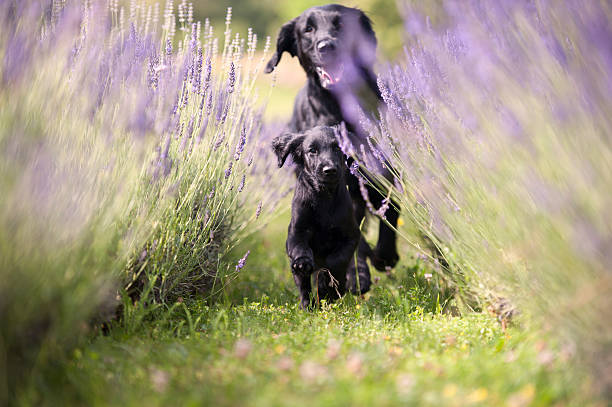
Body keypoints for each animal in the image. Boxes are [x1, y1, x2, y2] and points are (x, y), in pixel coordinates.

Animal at [272, 127, 364, 310]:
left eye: (337, 148)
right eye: (312, 150)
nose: (329, 170)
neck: (324, 197)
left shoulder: (351, 236)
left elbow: (336, 261)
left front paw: (325, 284)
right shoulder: (296, 232)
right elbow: (300, 250)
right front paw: (303, 263)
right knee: (304, 287)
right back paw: (307, 305)